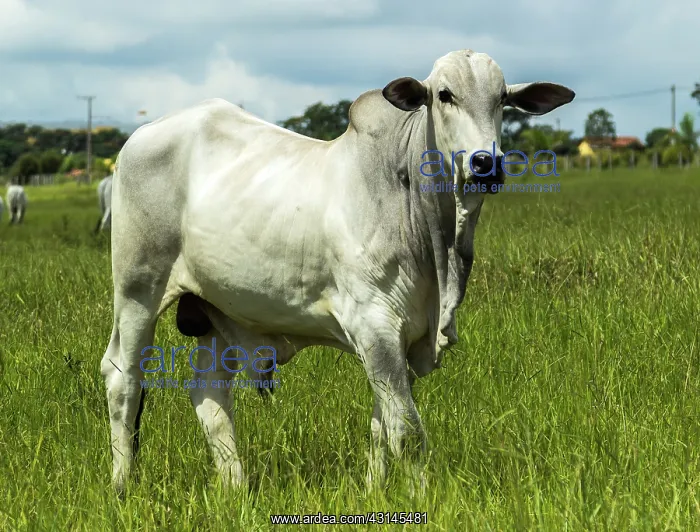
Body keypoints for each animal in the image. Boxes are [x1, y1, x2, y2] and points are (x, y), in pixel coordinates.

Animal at [101, 49, 574, 496]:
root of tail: (140, 136)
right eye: (445, 95)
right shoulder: (375, 326)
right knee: (123, 380)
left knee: (209, 393)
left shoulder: (402, 340)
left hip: (218, 311)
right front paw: (422, 499)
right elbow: (407, 433)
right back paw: (123, 484)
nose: (485, 164)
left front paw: (374, 490)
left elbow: (382, 427)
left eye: (502, 99)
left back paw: (236, 487)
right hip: (138, 289)